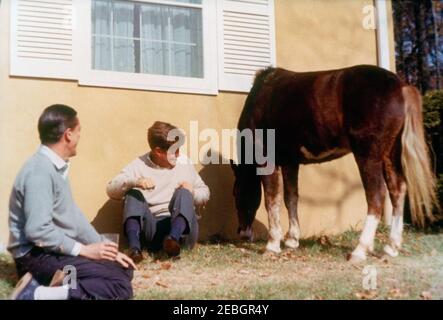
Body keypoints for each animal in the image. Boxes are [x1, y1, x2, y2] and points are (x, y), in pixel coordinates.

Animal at [232, 64, 440, 262]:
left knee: (376, 195)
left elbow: (272, 199)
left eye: (236, 192)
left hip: (368, 155)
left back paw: (360, 251)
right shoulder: (291, 163)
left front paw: (272, 245)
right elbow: (291, 198)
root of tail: (401, 86)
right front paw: (292, 240)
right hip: (390, 153)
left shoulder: (266, 158)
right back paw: (391, 248)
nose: (242, 233)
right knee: (397, 189)